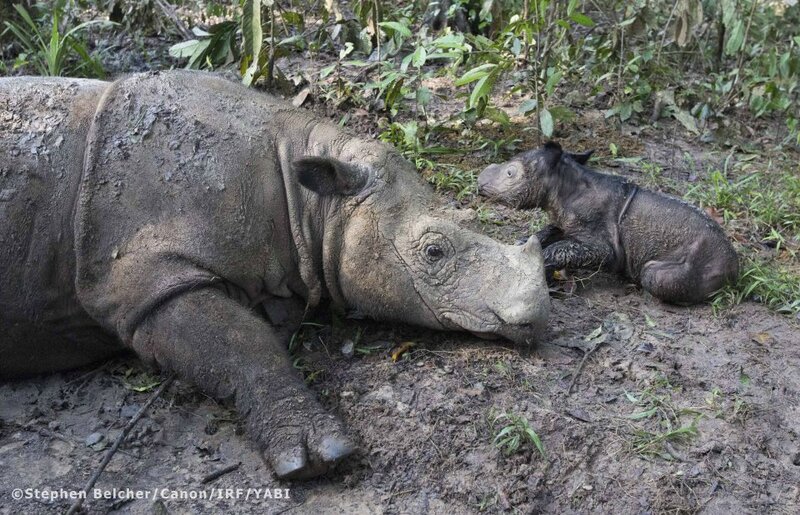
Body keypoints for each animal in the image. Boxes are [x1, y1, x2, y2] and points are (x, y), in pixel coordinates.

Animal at [0, 71, 552, 480]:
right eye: (434, 252)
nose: (536, 315)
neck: (306, 198)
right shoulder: (143, 284)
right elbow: (240, 342)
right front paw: (318, 456)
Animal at [476, 142, 736, 306]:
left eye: (510, 173)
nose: (479, 183)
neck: (562, 185)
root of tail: (735, 266)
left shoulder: (606, 249)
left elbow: (560, 249)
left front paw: (538, 267)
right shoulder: (566, 222)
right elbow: (552, 231)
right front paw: (522, 244)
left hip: (698, 262)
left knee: (652, 275)